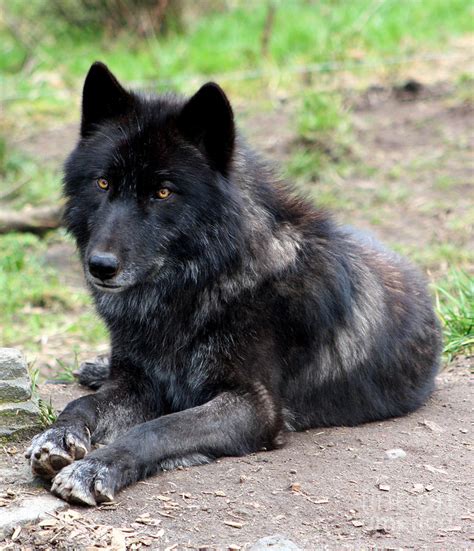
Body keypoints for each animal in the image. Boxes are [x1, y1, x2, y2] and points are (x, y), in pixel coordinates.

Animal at [25, 62, 440, 506]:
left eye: (163, 192)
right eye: (103, 183)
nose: (100, 266)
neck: (193, 289)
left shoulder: (253, 406)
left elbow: (159, 428)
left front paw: (95, 467)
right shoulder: (139, 383)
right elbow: (82, 405)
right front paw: (57, 435)